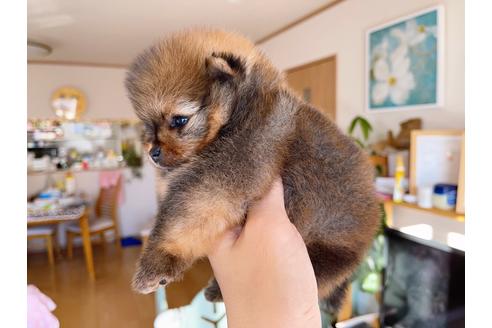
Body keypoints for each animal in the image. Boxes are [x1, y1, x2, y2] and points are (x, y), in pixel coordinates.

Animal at [125, 28, 378, 308]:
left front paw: (156, 261)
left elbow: (184, 217)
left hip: (321, 254)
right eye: (148, 127)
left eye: (179, 120)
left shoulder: (227, 173)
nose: (153, 153)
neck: (241, 109)